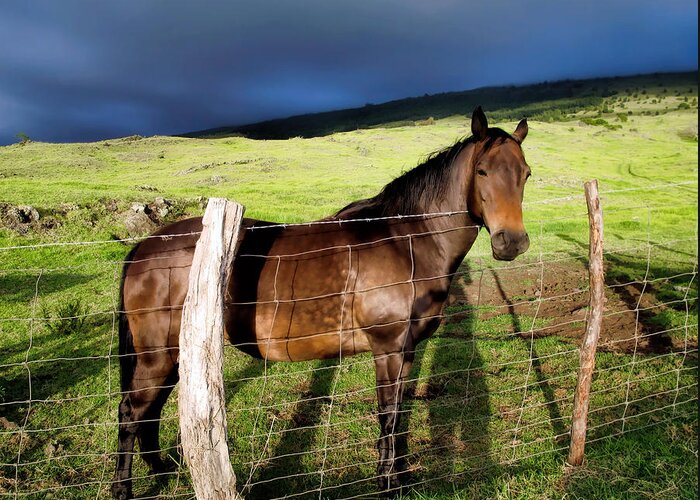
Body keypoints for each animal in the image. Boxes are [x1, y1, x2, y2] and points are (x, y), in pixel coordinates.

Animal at [112, 107, 532, 498]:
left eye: (525, 173)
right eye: (482, 171)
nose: (511, 241)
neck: (407, 240)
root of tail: (145, 248)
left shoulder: (408, 350)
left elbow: (400, 414)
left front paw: (400, 478)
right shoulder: (390, 349)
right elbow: (389, 414)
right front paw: (388, 484)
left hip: (174, 355)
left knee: (149, 413)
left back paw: (162, 472)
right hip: (157, 355)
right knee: (132, 413)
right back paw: (124, 488)